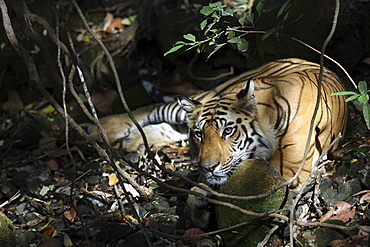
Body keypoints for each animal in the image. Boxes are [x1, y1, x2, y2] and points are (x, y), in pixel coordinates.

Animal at [89, 58, 346, 187]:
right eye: (200, 134)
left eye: (228, 131)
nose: (207, 167)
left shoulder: (290, 167)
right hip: (200, 98)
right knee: (151, 108)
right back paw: (101, 128)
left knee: (170, 127)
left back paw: (132, 141)